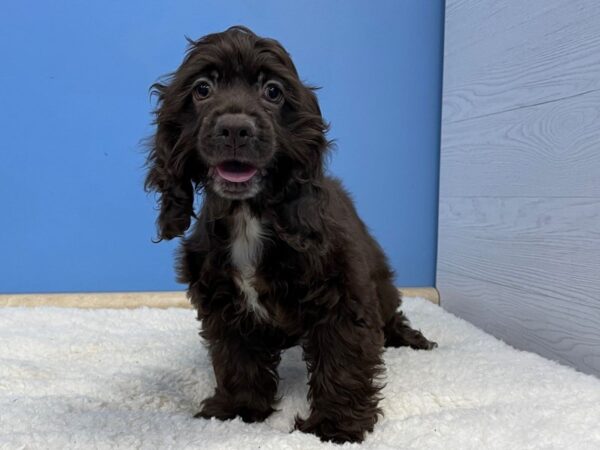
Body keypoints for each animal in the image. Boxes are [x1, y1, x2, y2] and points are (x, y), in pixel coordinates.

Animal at [145, 25, 436, 442]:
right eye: (202, 89)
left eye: (273, 91)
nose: (235, 128)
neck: (248, 216)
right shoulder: (221, 300)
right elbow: (237, 358)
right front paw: (239, 409)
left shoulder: (343, 292)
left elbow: (343, 357)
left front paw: (336, 425)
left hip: (379, 281)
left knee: (390, 314)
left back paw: (413, 340)